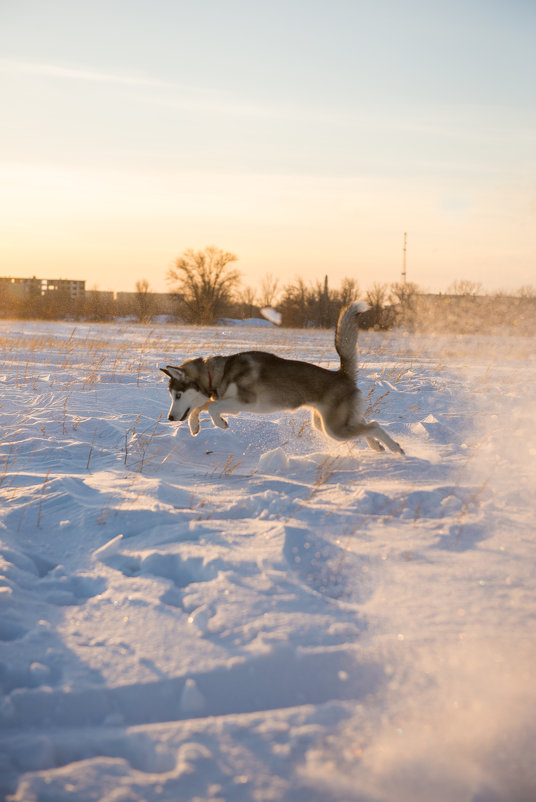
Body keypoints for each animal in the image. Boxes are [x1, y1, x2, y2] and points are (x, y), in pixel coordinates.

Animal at [161, 300, 404, 454]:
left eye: (178, 395)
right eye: (172, 396)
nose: (170, 418)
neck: (219, 373)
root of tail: (341, 373)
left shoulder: (242, 402)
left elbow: (210, 407)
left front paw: (220, 423)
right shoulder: (228, 402)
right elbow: (202, 407)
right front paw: (195, 427)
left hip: (334, 429)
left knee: (374, 425)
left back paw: (395, 448)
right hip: (328, 424)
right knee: (365, 424)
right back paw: (376, 447)